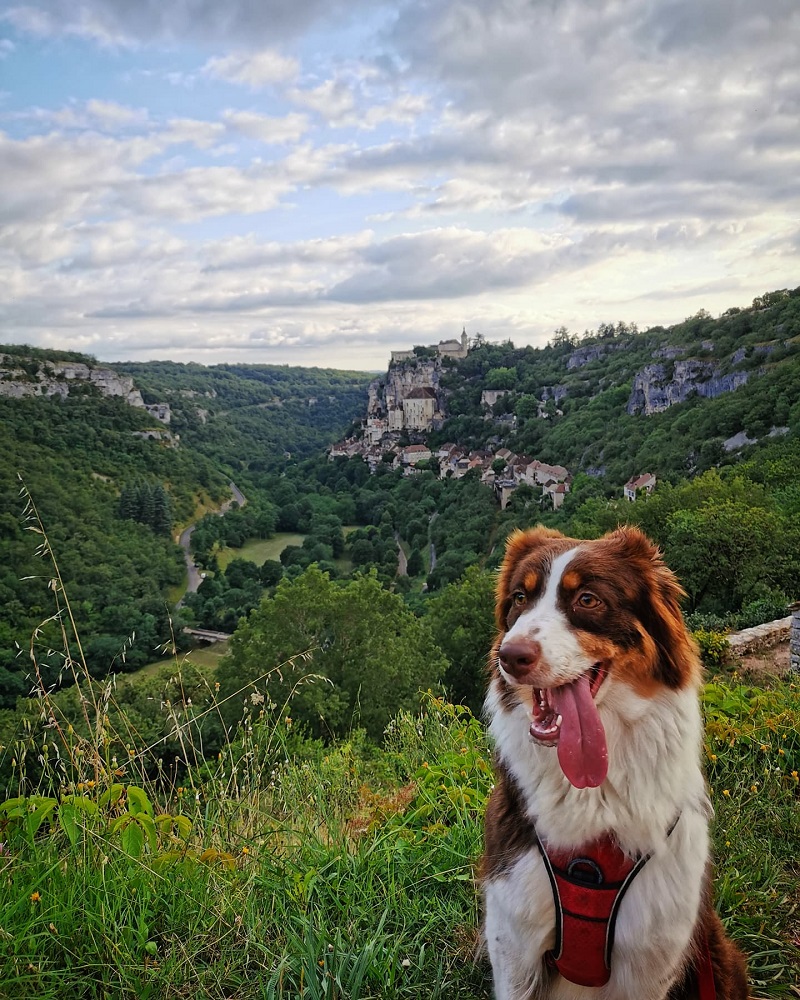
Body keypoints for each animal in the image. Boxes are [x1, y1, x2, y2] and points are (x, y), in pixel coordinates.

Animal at [482, 528, 752, 996]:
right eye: (519, 597)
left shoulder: (651, 952)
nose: (510, 656)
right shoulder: (513, 941)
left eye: (588, 599)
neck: (591, 797)